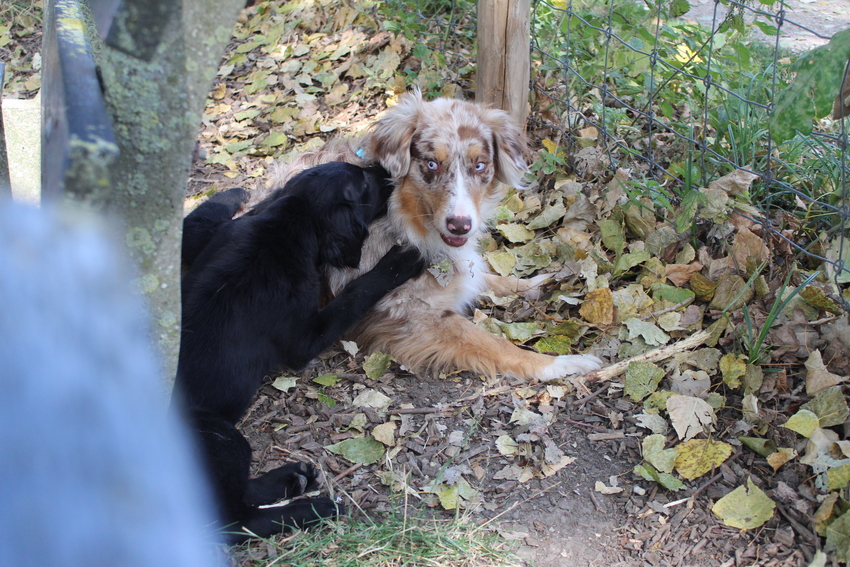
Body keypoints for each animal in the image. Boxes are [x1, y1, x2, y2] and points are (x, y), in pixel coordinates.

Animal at [175, 162, 424, 543]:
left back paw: (292, 479)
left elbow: (199, 218)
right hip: (221, 435)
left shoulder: (208, 235)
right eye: (364, 185)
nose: (385, 170)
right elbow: (355, 292)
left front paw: (235, 192)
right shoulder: (305, 338)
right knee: (234, 519)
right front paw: (398, 262)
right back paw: (313, 508)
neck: (288, 222)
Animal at [265, 91, 603, 382]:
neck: (401, 217)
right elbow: (494, 343)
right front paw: (561, 363)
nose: (460, 225)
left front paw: (535, 283)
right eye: (431, 163)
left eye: (479, 165)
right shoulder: (416, 317)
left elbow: (486, 277)